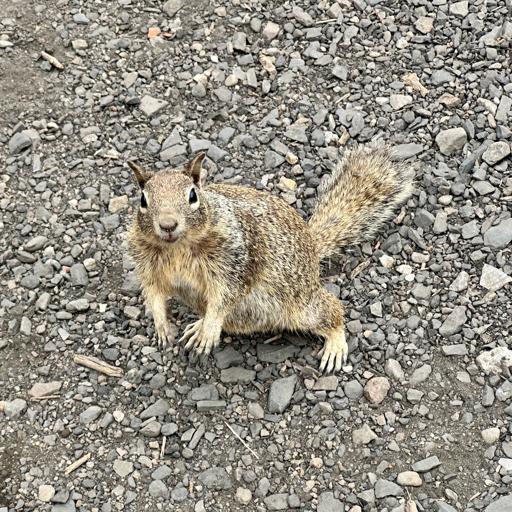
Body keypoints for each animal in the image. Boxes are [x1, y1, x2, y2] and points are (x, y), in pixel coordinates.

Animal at [127, 145, 414, 373]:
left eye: (193, 195)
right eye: (143, 200)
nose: (167, 225)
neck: (177, 247)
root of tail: (312, 247)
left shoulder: (236, 260)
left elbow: (223, 298)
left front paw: (208, 330)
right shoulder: (146, 265)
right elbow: (153, 293)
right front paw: (162, 326)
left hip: (301, 304)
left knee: (332, 311)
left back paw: (335, 345)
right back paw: (197, 325)